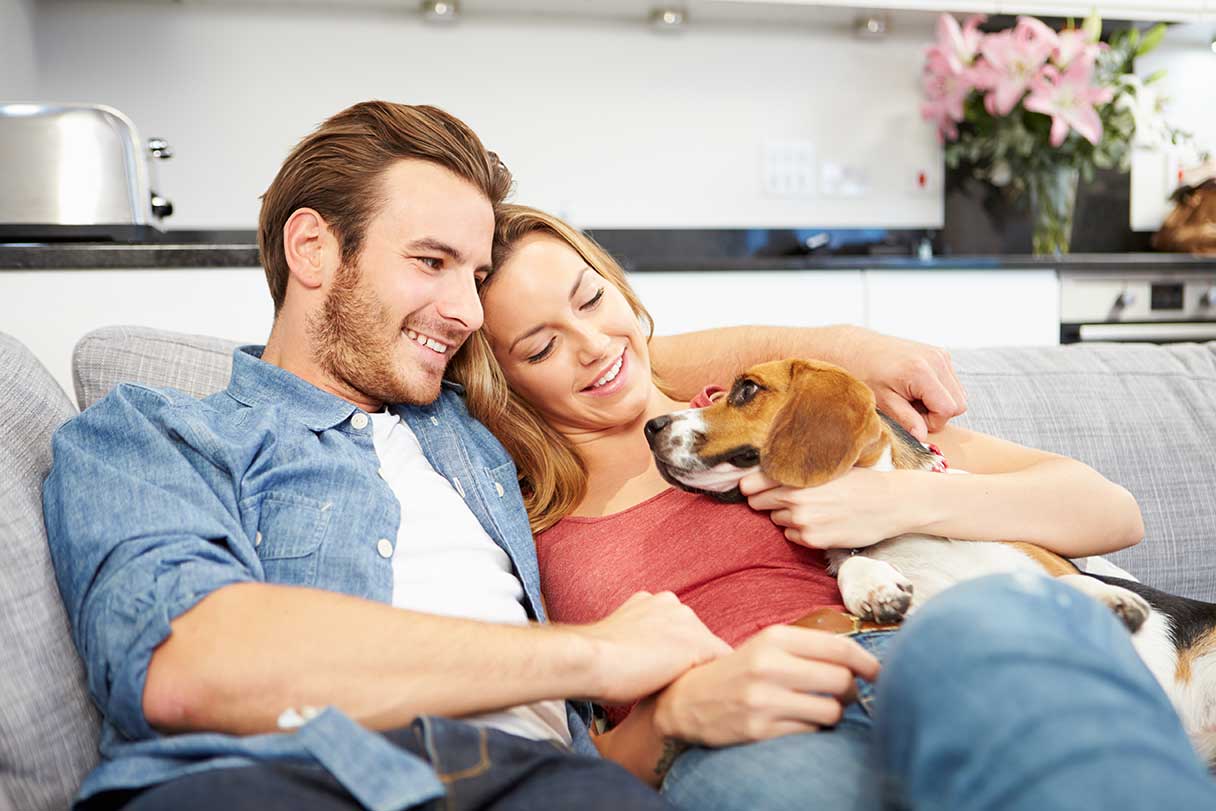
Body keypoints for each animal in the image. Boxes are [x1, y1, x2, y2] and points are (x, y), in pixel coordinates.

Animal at [646, 357, 1216, 763]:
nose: (652, 425)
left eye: (747, 390)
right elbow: (854, 566)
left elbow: (1067, 579)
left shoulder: (1037, 556)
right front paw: (875, 589)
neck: (906, 536)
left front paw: (1108, 600)